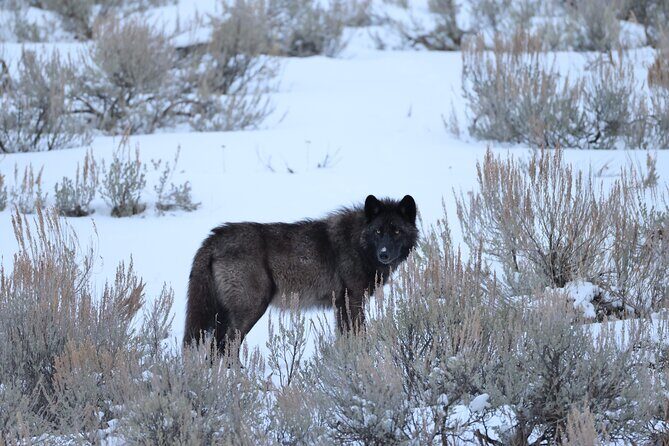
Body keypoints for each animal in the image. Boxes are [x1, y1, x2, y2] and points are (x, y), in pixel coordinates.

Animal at [183, 194, 418, 353]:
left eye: (396, 231)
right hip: (251, 309)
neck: (358, 244)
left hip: (223, 316)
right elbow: (359, 336)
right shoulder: (352, 302)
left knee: (215, 351)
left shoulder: (342, 306)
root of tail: (214, 238)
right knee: (227, 349)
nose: (384, 254)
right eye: (378, 232)